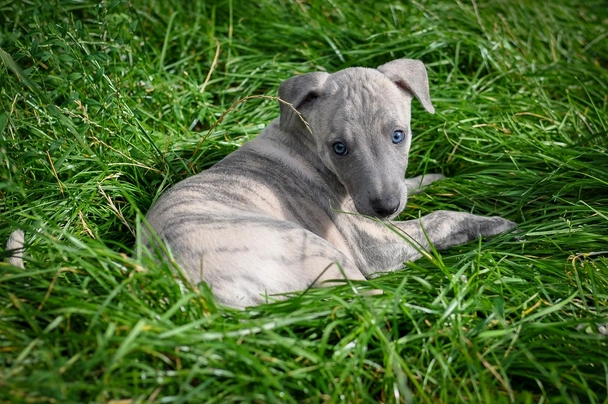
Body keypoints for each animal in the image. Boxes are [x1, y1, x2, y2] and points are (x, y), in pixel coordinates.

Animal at [142, 58, 512, 308]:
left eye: (398, 135)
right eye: (339, 148)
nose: (386, 209)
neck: (306, 145)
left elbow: (413, 185)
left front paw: (436, 179)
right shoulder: (372, 242)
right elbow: (438, 220)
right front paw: (491, 223)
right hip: (321, 252)